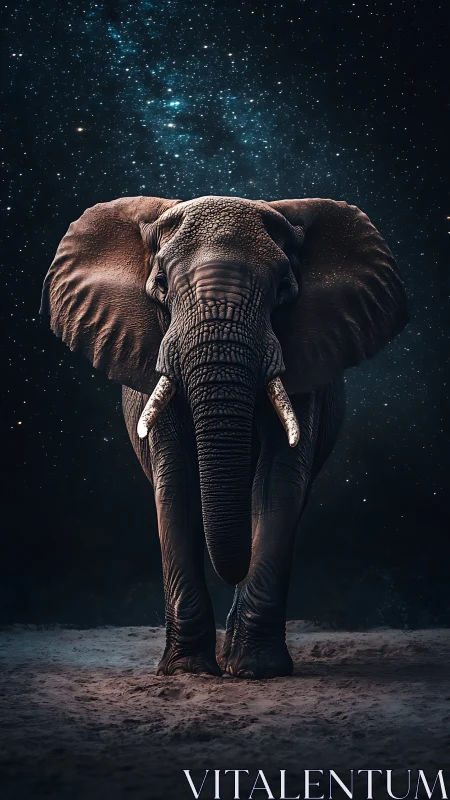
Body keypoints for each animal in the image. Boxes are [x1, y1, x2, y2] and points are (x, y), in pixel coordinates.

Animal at [41, 194, 408, 678]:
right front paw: (188, 670)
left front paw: (256, 670)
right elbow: (175, 484)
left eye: (283, 289)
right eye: (161, 285)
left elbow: (277, 484)